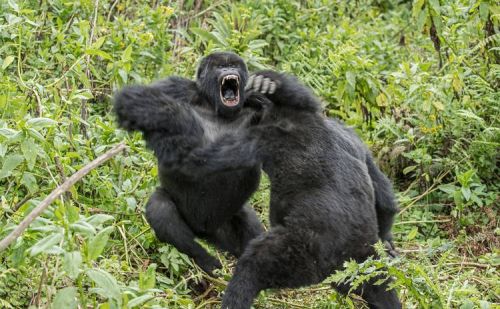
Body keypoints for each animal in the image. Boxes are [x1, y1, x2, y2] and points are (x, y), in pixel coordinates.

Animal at [111, 51, 264, 274]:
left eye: (235, 65)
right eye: (220, 67)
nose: (230, 71)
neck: (212, 105)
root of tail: (204, 232)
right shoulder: (176, 87)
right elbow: (132, 101)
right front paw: (180, 120)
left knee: (252, 227)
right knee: (161, 208)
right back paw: (204, 258)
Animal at [172, 71, 402, 306]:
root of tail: (358, 251)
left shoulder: (259, 136)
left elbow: (205, 160)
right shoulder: (349, 134)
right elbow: (384, 197)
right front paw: (388, 240)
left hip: (308, 256)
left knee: (255, 265)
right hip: (359, 267)